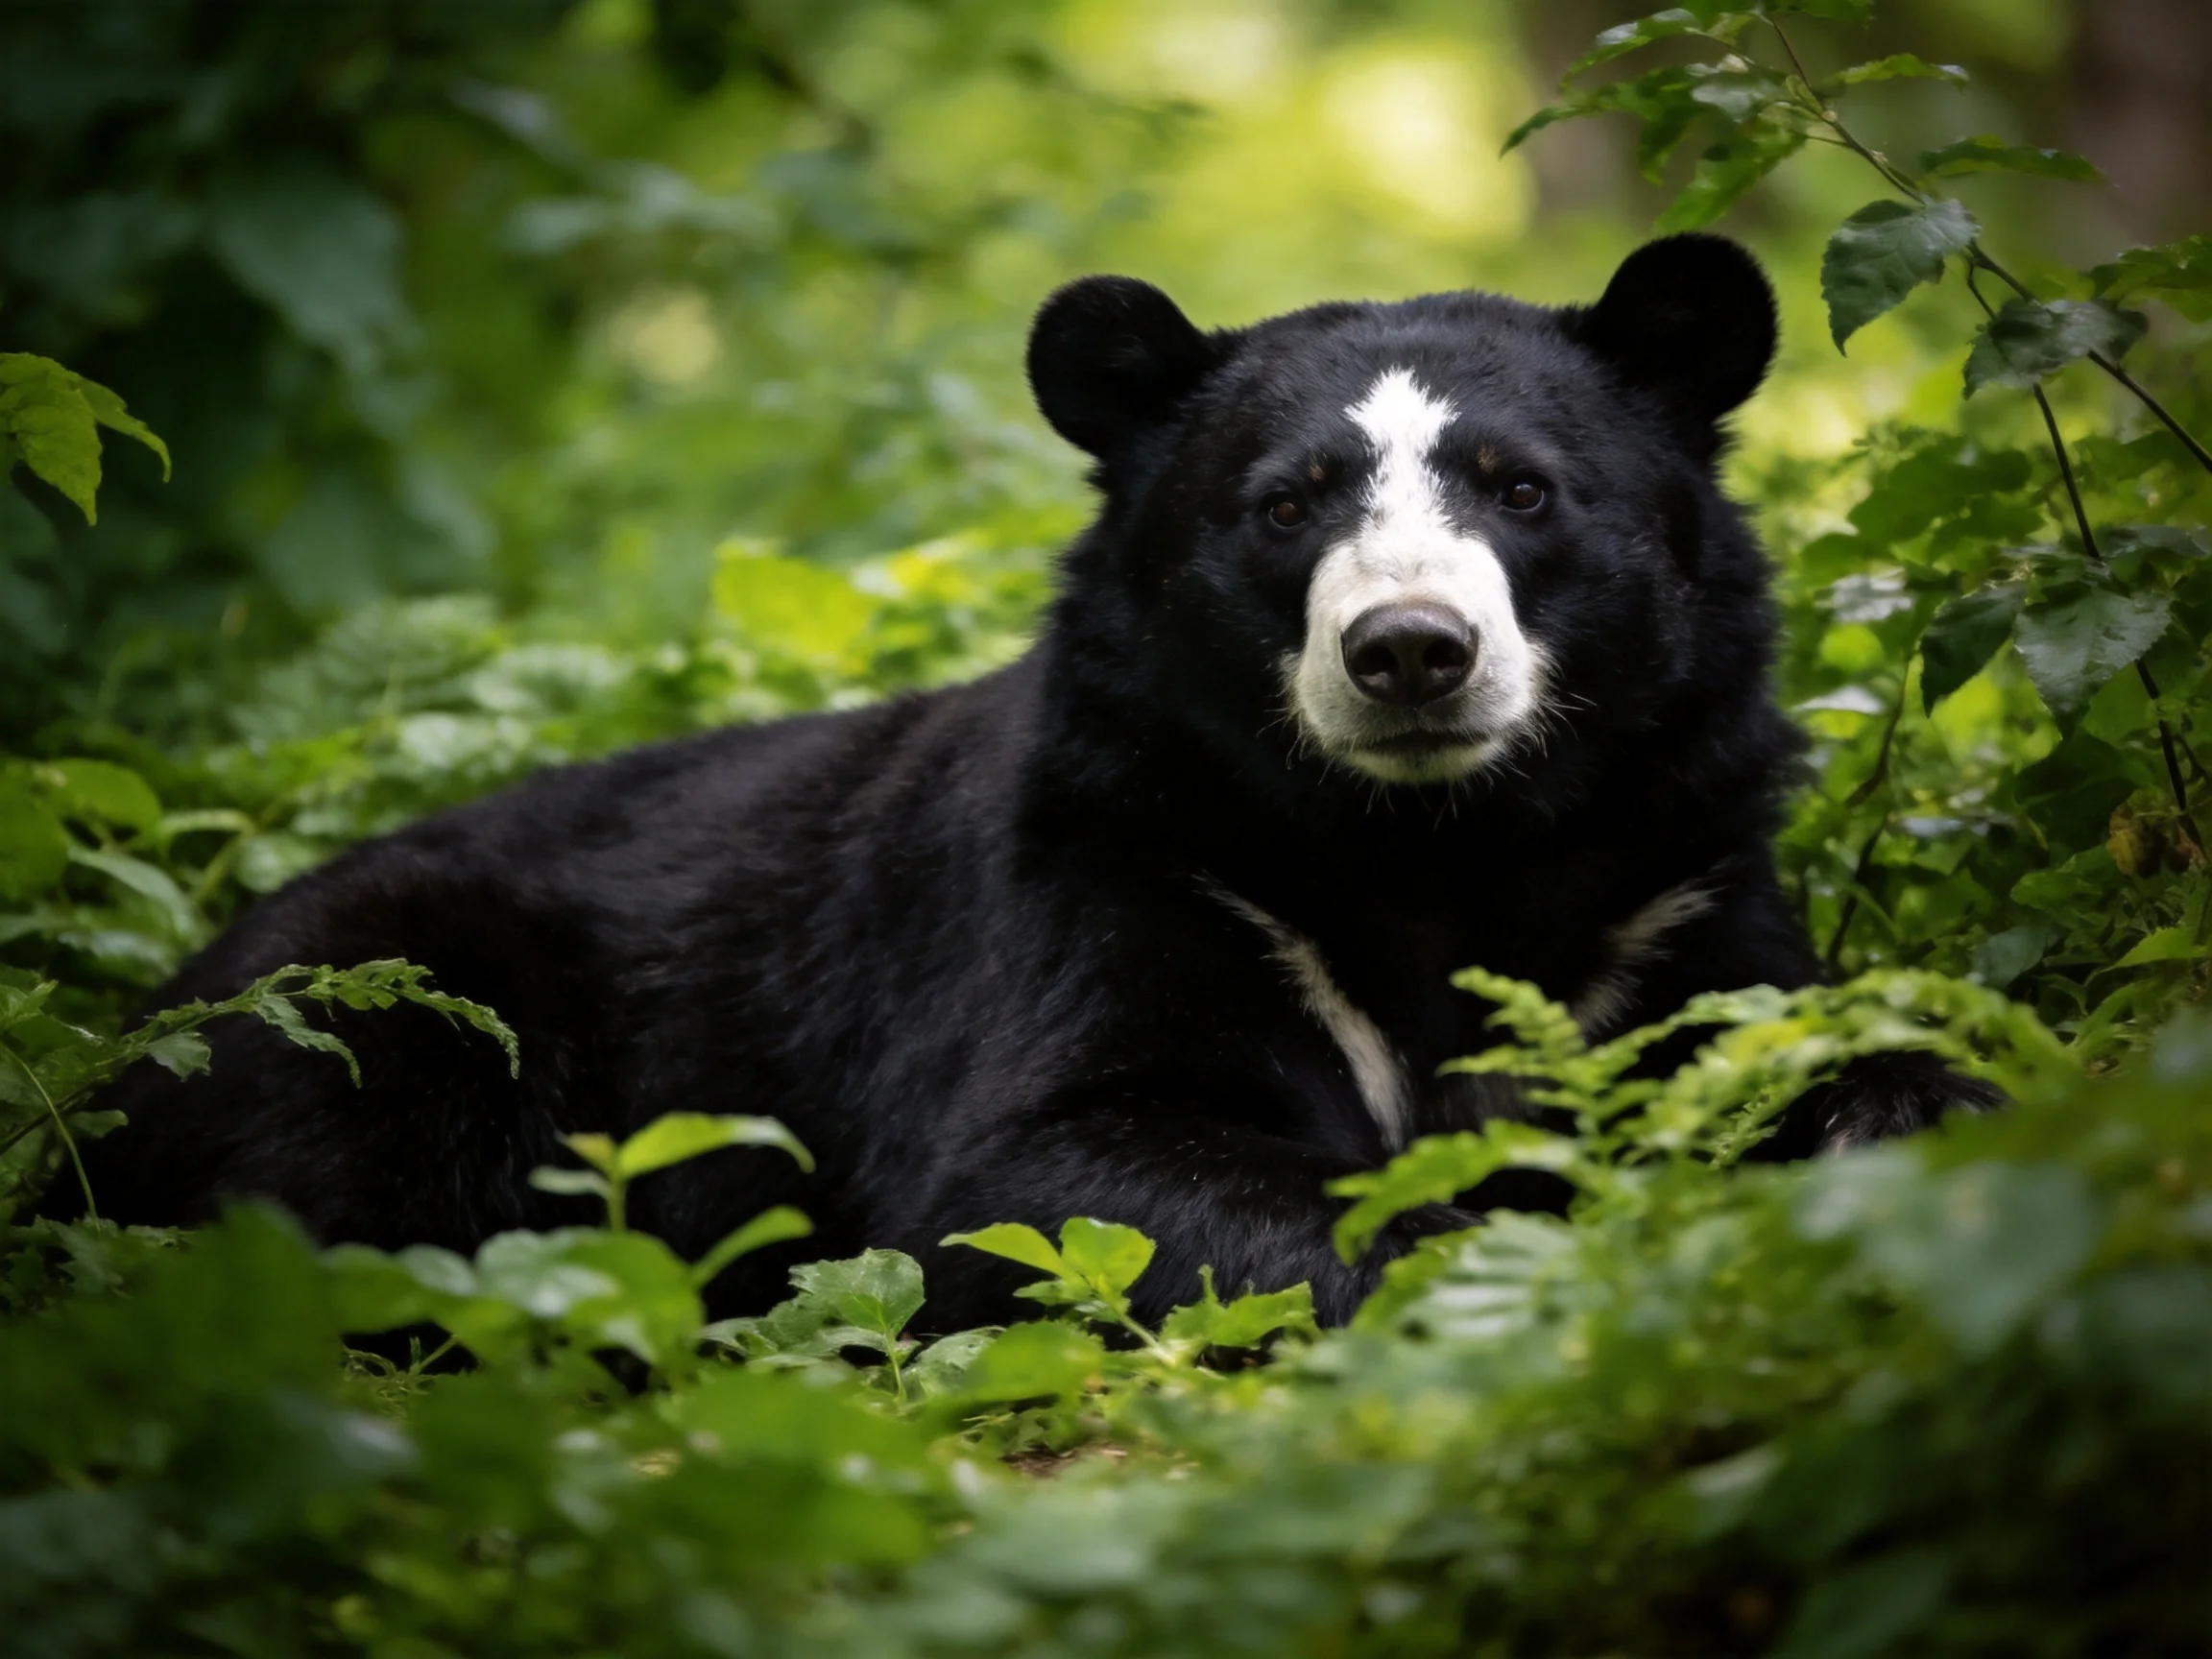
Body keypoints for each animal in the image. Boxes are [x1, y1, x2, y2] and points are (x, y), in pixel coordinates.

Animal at [76, 235, 1991, 1330]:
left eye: (1522, 489)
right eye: (1283, 505)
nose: (1410, 653)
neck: (1428, 841)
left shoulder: (1673, 871)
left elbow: (1818, 1041)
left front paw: (1890, 1137)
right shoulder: (1128, 870)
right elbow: (1045, 1173)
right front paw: (1511, 1244)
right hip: (374, 1004)